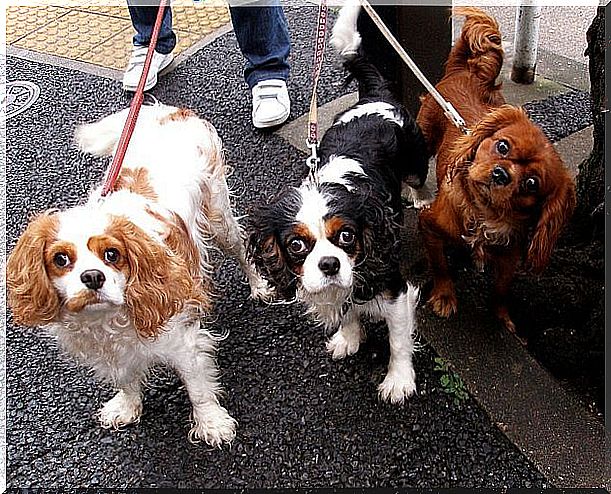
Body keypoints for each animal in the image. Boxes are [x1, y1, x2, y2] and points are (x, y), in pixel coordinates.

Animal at [6, 104, 270, 448]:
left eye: (112, 254)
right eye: (60, 259)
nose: (92, 277)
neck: (107, 320)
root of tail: (170, 112)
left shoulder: (183, 340)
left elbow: (197, 387)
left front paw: (212, 423)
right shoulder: (113, 351)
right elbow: (126, 377)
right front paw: (127, 405)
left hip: (218, 217)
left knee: (241, 249)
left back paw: (259, 285)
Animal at [247, 1, 430, 404]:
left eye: (347, 236)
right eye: (296, 245)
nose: (329, 264)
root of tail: (376, 94)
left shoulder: (393, 286)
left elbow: (398, 340)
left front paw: (398, 380)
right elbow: (347, 313)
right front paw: (348, 338)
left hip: (416, 160)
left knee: (418, 180)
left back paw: (419, 198)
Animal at [418, 7, 576, 334]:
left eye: (531, 183)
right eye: (502, 146)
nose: (502, 174)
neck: (484, 215)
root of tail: (463, 70)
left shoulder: (508, 258)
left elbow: (502, 290)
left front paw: (502, 319)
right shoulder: (429, 227)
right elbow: (440, 267)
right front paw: (444, 297)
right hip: (424, 135)